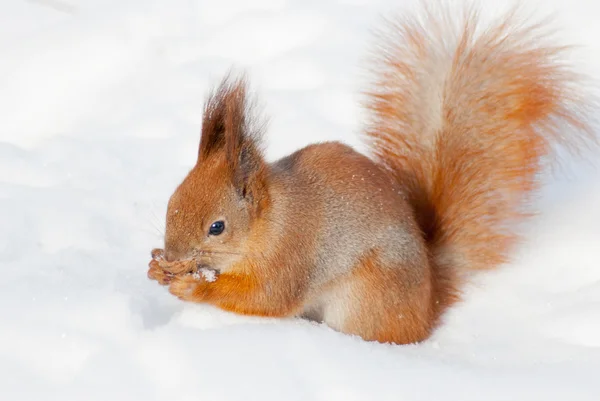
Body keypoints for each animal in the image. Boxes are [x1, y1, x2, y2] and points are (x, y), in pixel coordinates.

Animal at [146, 3, 596, 344]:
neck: (269, 222)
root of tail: (427, 306)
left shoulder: (292, 255)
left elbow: (266, 297)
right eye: (170, 203)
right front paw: (156, 267)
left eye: (217, 227)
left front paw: (193, 286)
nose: (173, 256)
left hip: (368, 297)